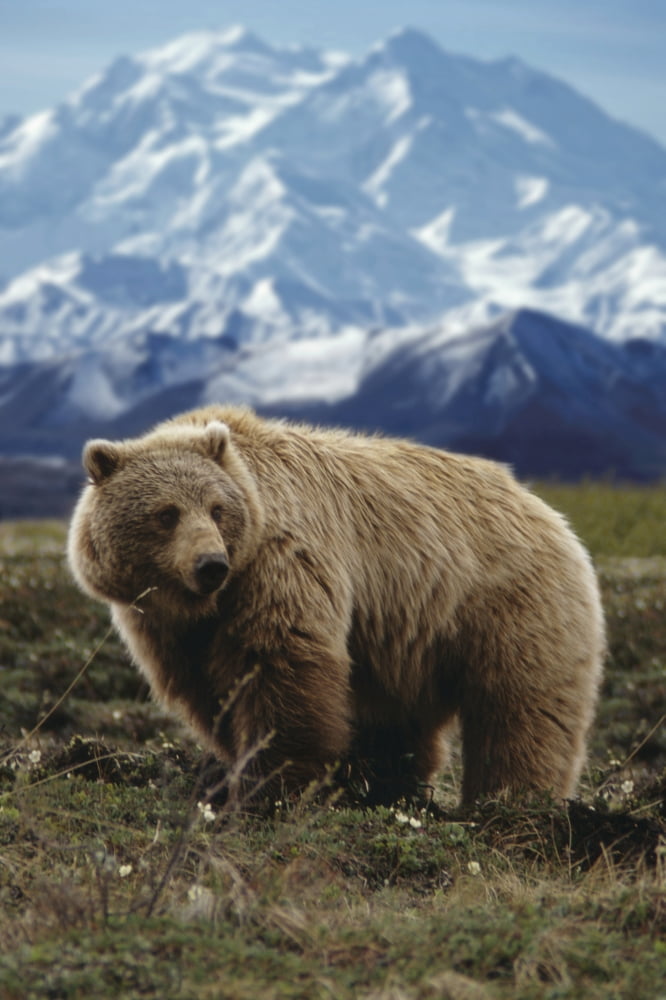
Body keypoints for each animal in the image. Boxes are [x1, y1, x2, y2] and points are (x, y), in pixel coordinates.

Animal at [67, 405, 605, 807]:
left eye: (217, 509)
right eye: (165, 514)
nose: (210, 564)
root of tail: (550, 512)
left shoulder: (280, 564)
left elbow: (281, 668)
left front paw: (271, 786)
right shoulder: (167, 627)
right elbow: (211, 692)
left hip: (506, 605)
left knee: (522, 710)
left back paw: (511, 802)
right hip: (406, 646)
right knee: (397, 721)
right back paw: (390, 787)